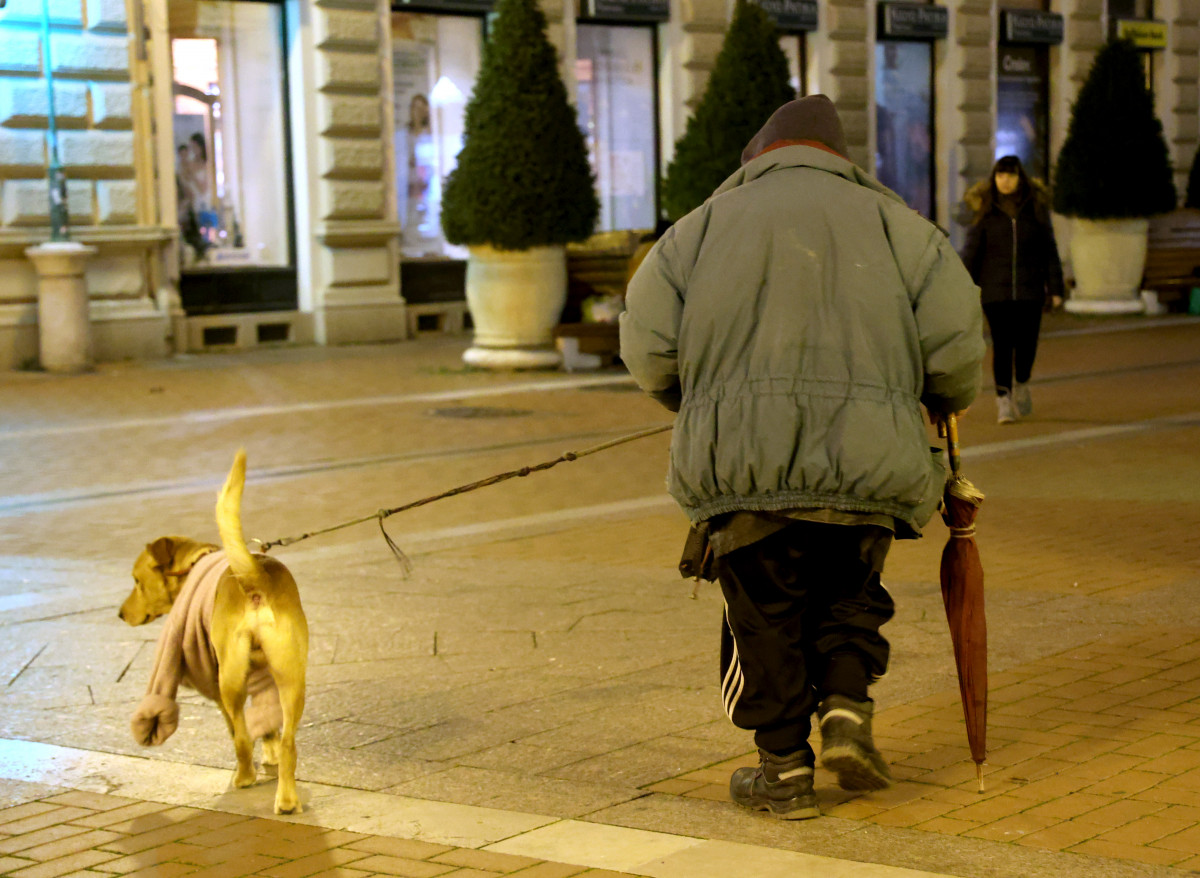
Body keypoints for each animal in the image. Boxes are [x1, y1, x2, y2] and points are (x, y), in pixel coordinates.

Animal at [119, 453, 309, 815]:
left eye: (136, 581)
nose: (120, 614)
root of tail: (255, 577)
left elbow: (242, 731)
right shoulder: (263, 679)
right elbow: (269, 729)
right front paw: (270, 757)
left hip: (229, 682)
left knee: (241, 737)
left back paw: (244, 778)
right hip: (291, 677)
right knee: (290, 741)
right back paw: (287, 800)